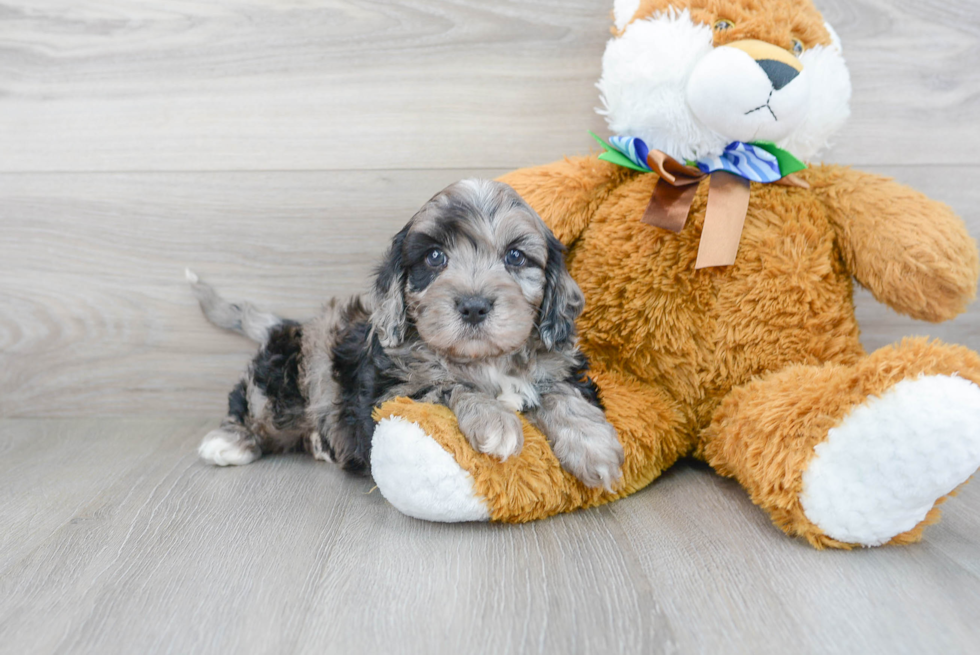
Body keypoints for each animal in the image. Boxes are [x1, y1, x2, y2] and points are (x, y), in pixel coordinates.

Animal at [188, 177, 624, 490]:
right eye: (435, 257)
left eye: (515, 256)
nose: (473, 305)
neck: (485, 360)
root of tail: (291, 324)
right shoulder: (393, 394)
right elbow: (448, 386)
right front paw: (494, 421)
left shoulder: (563, 369)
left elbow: (559, 393)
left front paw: (594, 446)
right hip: (283, 379)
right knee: (251, 404)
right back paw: (231, 441)